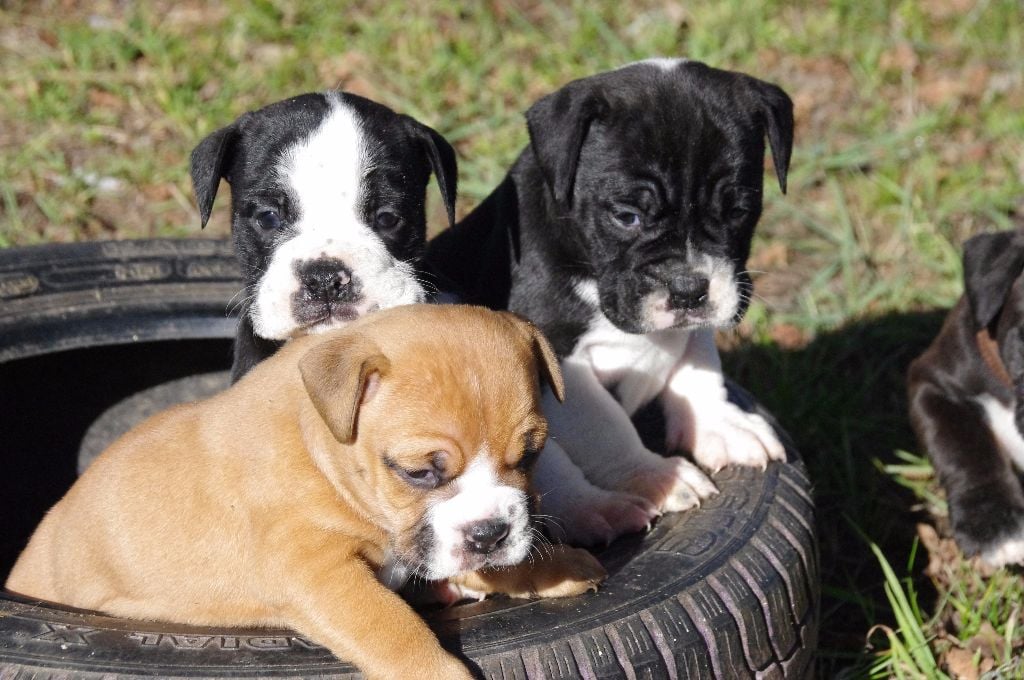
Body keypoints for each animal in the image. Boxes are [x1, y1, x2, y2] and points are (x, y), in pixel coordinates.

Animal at [4, 303, 602, 680]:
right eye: (419, 473)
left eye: (529, 455)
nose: (491, 534)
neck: (322, 447)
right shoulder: (319, 572)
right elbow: (390, 627)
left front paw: (554, 567)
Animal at [423, 61, 790, 544]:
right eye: (626, 217)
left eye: (738, 211)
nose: (688, 288)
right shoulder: (559, 359)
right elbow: (606, 424)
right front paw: (654, 476)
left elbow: (700, 362)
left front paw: (721, 424)